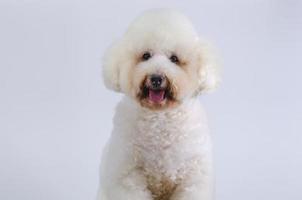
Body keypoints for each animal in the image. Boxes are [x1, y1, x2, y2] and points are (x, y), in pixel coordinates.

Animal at [98, 9, 219, 200]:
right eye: (146, 55)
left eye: (174, 58)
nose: (156, 78)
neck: (160, 118)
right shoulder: (128, 177)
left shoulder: (192, 178)